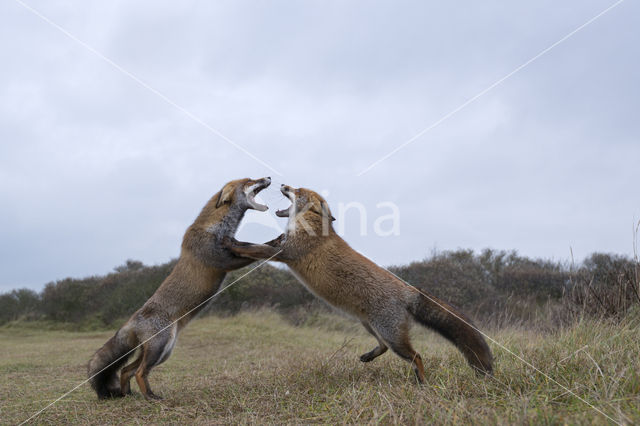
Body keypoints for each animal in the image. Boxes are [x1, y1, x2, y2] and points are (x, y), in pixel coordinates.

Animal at [86, 176, 272, 400]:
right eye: (249, 180)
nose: (268, 177)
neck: (216, 228)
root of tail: (132, 320)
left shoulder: (232, 249)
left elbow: (253, 246)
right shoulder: (222, 260)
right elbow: (257, 250)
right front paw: (275, 246)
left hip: (163, 351)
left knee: (126, 370)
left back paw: (128, 395)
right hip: (160, 347)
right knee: (138, 372)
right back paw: (150, 397)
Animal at [226, 185, 496, 382]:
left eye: (297, 191)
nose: (282, 184)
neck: (310, 226)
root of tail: (409, 290)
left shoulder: (287, 253)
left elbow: (252, 248)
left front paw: (231, 245)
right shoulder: (281, 246)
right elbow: (257, 244)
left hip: (391, 334)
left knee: (416, 355)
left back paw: (421, 381)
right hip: (370, 325)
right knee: (383, 348)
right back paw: (370, 357)